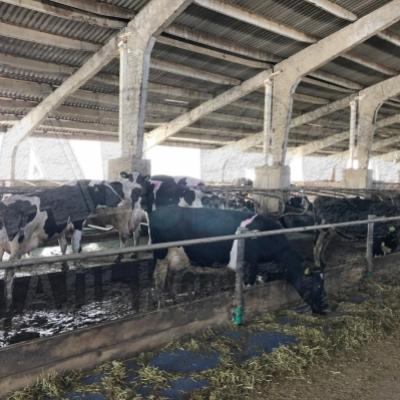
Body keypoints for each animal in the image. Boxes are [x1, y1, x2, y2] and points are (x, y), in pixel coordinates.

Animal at [0, 177, 143, 260]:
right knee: (127, 235)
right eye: (103, 189)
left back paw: (127, 254)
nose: (119, 198)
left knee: (129, 235)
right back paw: (123, 255)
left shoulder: (64, 227)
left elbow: (66, 246)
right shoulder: (75, 223)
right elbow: (72, 246)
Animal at [149, 206, 329, 315]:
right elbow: (249, 287)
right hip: (161, 254)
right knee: (158, 278)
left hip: (177, 256)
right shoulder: (249, 264)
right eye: (315, 284)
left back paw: (175, 301)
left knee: (171, 277)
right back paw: (160, 305)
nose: (325, 307)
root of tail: (158, 211)